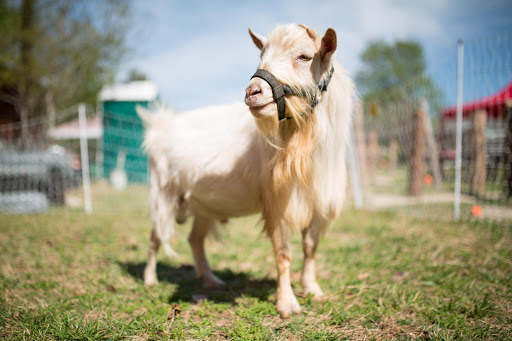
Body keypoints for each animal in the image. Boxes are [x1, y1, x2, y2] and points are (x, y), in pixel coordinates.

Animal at [140, 23, 356, 316]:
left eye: (304, 57)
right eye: (261, 55)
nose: (252, 91)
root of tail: (160, 126)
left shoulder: (320, 202)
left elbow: (310, 247)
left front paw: (313, 289)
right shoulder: (276, 202)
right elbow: (283, 253)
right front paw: (287, 303)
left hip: (203, 204)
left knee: (195, 239)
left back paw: (210, 280)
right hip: (164, 193)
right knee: (156, 236)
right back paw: (150, 279)